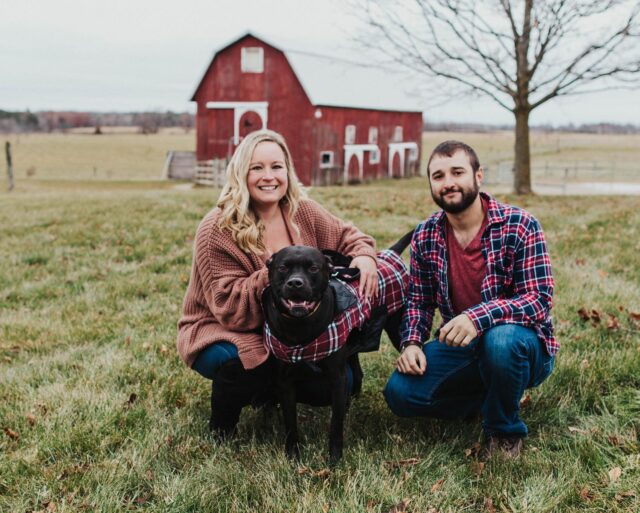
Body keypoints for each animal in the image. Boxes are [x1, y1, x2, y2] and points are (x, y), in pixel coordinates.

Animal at [262, 230, 412, 462]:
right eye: (283, 267)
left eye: (313, 268)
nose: (295, 283)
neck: (300, 325)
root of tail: (389, 253)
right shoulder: (285, 382)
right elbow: (290, 423)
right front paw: (293, 455)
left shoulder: (337, 378)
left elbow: (335, 424)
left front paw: (334, 459)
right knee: (357, 373)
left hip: (396, 330)